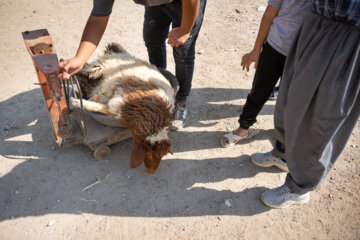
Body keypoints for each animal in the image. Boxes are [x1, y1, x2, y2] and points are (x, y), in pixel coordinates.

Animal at [70, 43, 177, 173]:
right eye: (149, 155)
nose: (151, 172)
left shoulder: (116, 105)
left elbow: (101, 105)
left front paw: (78, 102)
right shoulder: (116, 86)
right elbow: (99, 98)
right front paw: (76, 102)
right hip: (105, 65)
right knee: (92, 68)